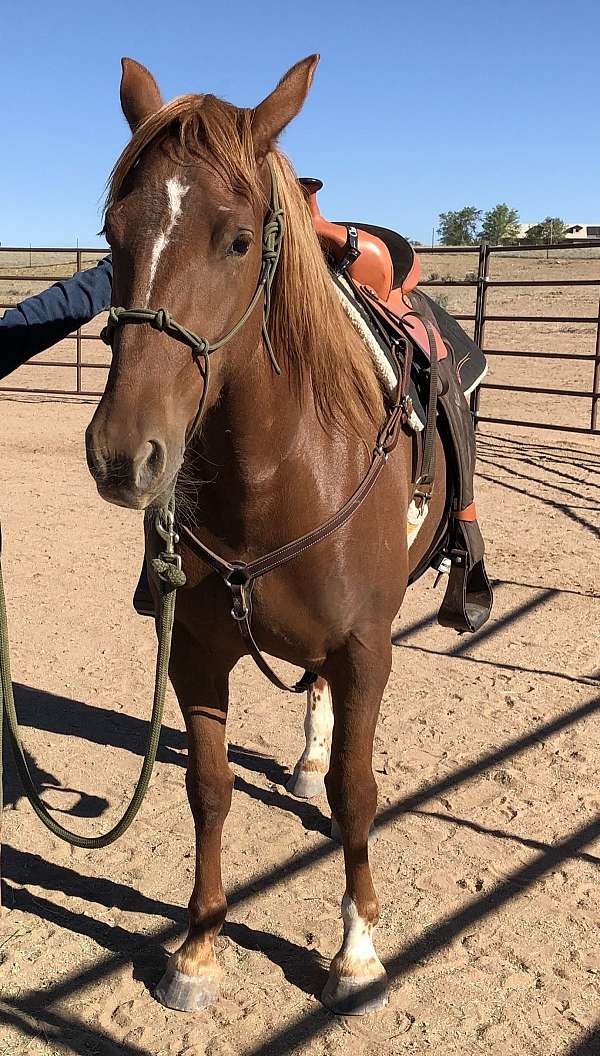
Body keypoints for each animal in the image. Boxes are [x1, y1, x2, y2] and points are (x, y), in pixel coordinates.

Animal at [86, 57, 447, 1013]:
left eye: (240, 240)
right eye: (111, 233)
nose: (123, 454)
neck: (281, 475)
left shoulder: (366, 648)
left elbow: (358, 795)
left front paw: (356, 954)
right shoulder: (195, 653)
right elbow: (207, 789)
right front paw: (198, 949)